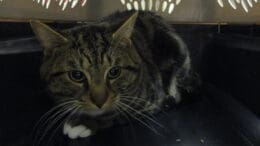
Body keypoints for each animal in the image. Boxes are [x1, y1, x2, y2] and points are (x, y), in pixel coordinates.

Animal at [30, 10, 194, 143]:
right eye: (76, 75)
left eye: (114, 72)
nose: (100, 101)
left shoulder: (151, 99)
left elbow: (118, 112)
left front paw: (83, 122)